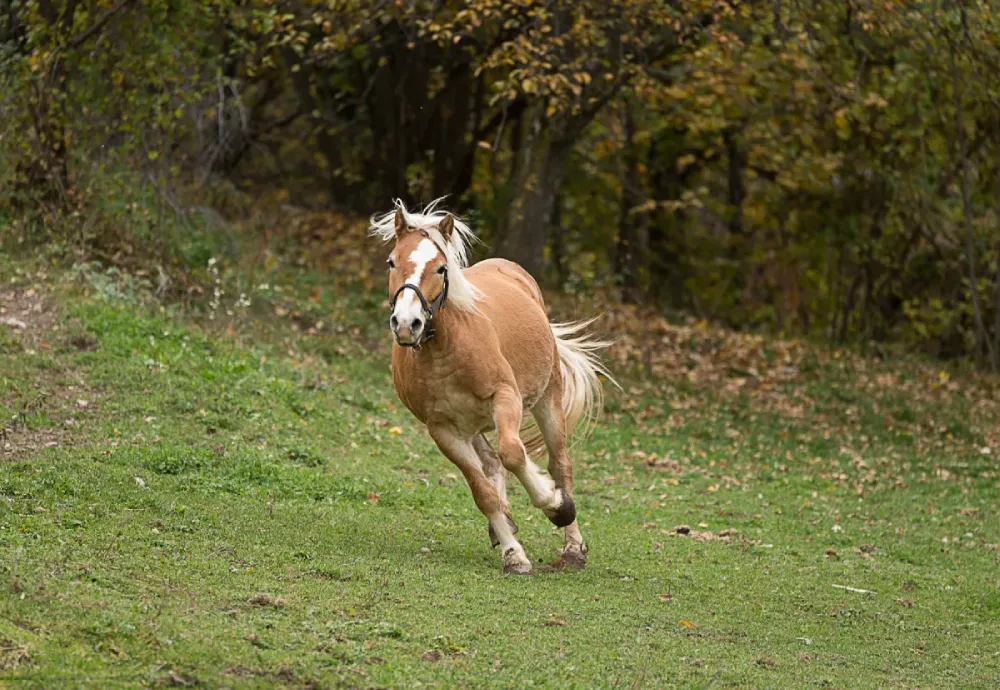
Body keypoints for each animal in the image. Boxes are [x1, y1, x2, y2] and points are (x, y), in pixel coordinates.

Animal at [369, 200, 614, 574]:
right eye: (391, 262)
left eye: (441, 268)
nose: (407, 324)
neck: (446, 351)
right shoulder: (442, 429)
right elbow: (482, 490)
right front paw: (514, 553)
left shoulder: (505, 399)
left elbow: (514, 454)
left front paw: (555, 504)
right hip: (472, 425)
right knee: (492, 464)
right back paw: (506, 525)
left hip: (548, 400)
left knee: (559, 464)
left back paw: (572, 546)